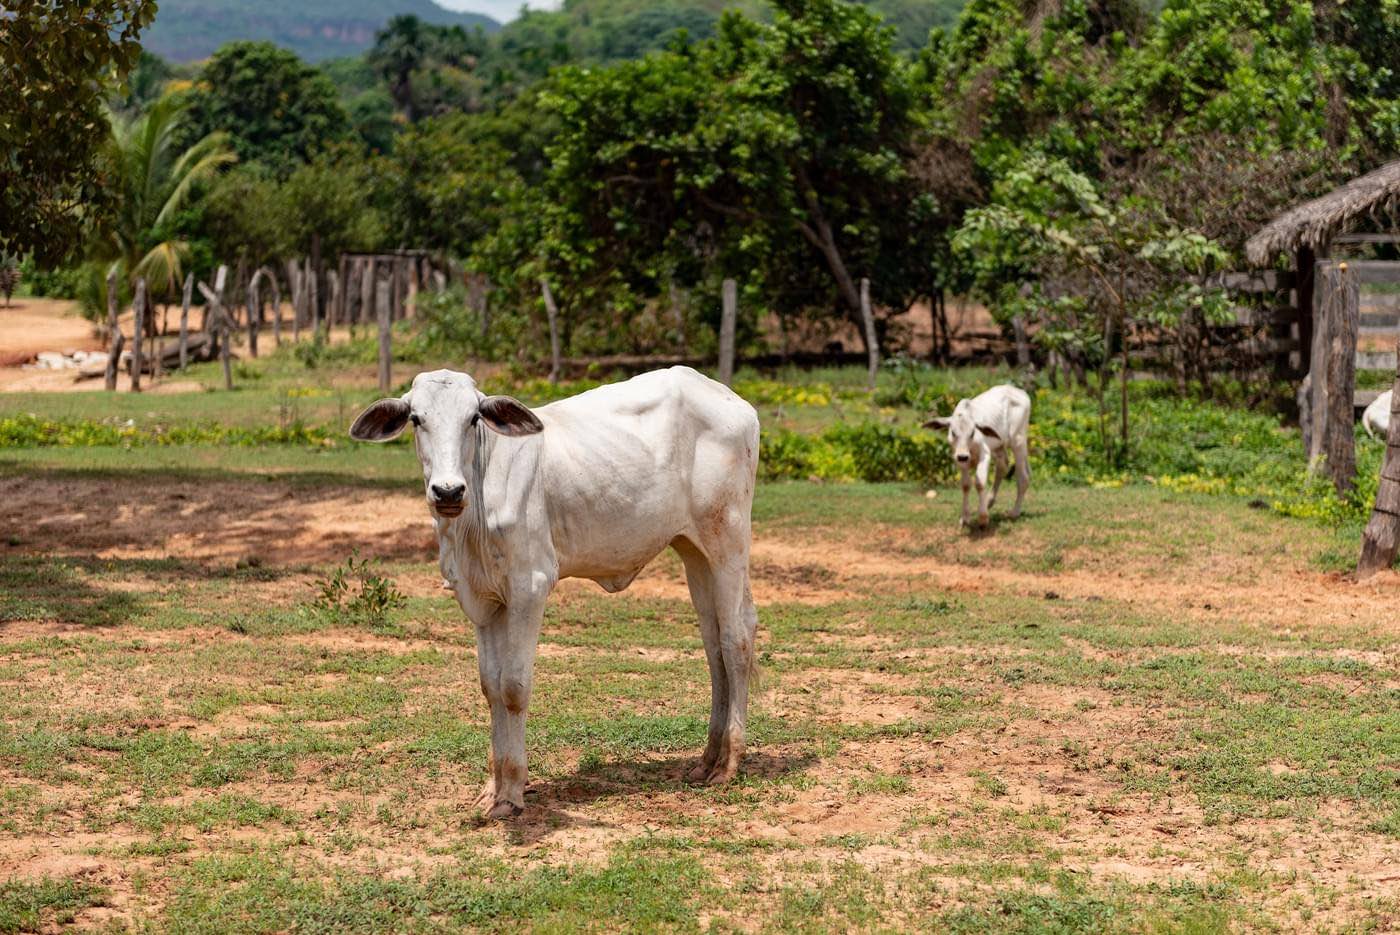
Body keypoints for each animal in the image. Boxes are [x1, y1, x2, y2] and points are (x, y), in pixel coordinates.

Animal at [350, 363, 767, 817]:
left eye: (473, 418)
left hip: (728, 541)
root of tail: (732, 401)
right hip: (694, 551)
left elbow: (514, 686)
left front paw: (513, 792)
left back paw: (728, 762)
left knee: (735, 640)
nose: (447, 491)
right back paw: (706, 759)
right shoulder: (482, 600)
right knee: (714, 647)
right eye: (416, 418)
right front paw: (492, 788)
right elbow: (490, 687)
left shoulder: (529, 587)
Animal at [924, 380, 1036, 526]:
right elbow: (966, 485)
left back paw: (1014, 512)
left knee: (1023, 478)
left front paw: (983, 517)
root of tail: (1019, 391)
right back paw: (989, 502)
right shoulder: (959, 459)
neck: (970, 448)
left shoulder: (985, 454)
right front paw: (965, 517)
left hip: (1018, 441)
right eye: (953, 432)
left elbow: (980, 483)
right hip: (999, 447)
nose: (963, 456)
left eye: (972, 433)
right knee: (1002, 467)